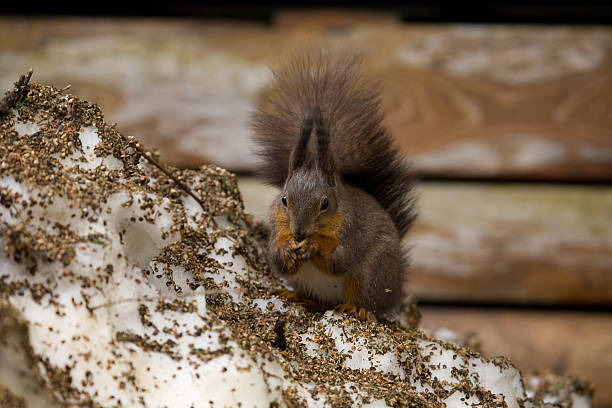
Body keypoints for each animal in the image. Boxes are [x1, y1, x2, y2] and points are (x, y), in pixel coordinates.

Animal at [250, 50, 416, 318]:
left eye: (325, 203)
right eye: (284, 199)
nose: (299, 233)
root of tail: (397, 285)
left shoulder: (354, 231)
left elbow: (339, 260)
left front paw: (314, 247)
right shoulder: (277, 227)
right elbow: (276, 259)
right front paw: (287, 250)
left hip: (373, 271)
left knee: (367, 299)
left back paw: (357, 308)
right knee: (318, 300)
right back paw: (297, 297)